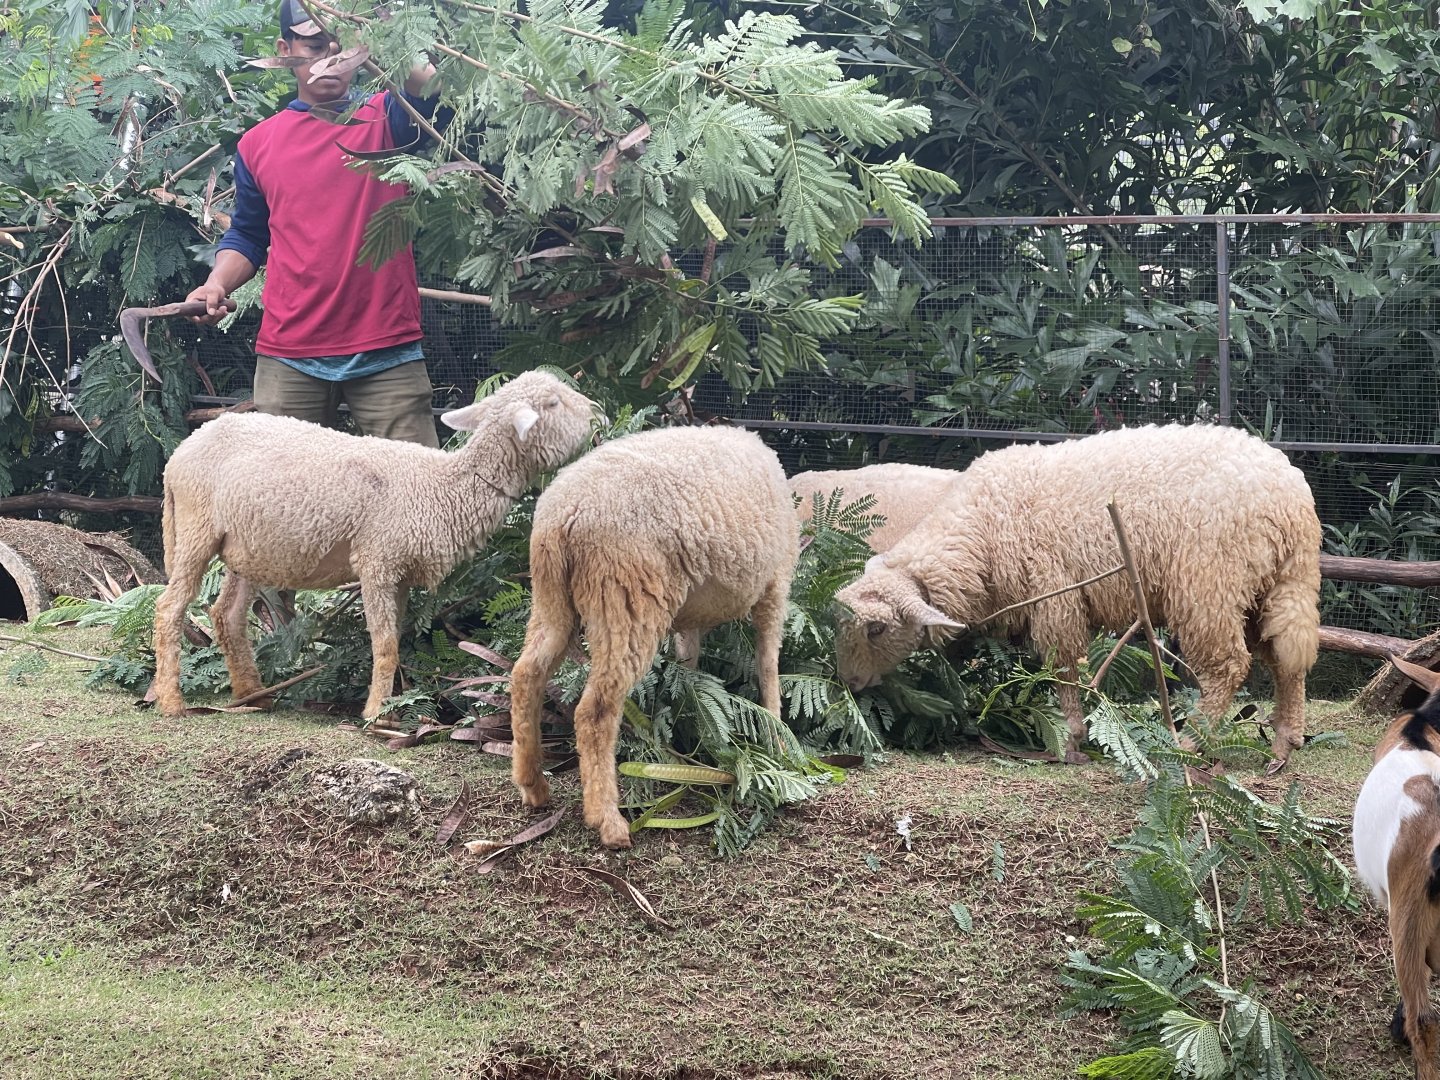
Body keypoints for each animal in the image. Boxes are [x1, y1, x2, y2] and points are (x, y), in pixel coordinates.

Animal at [152, 370, 601, 721]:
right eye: (553, 403)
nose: (597, 409)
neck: (443, 487)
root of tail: (179, 455)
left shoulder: (399, 571)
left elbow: (396, 639)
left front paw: (393, 706)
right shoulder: (378, 561)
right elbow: (383, 643)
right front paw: (374, 714)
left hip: (246, 546)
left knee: (226, 614)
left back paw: (251, 695)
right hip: (195, 527)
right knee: (169, 607)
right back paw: (172, 702)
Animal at [508, 425, 800, 849]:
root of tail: (564, 514)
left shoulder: (693, 617)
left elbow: (688, 663)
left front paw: (686, 728)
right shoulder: (774, 586)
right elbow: (768, 665)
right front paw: (777, 737)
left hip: (551, 599)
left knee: (525, 675)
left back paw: (533, 785)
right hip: (624, 599)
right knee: (595, 710)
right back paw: (608, 820)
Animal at [833, 424, 1321, 767]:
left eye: (877, 629)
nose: (849, 683)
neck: (981, 530)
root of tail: (1291, 498)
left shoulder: (1054, 594)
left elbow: (1063, 666)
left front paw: (1069, 736)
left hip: (1209, 581)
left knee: (1229, 665)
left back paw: (1191, 740)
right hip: (1275, 585)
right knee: (1287, 657)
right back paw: (1285, 740)